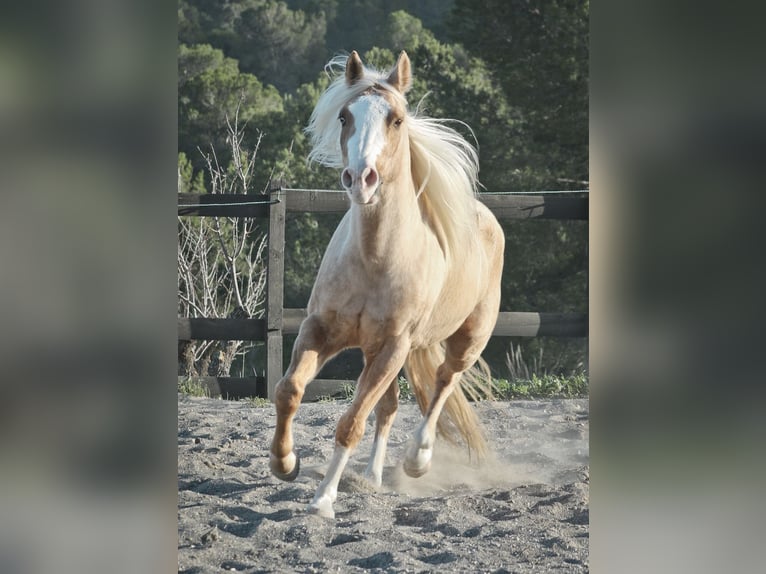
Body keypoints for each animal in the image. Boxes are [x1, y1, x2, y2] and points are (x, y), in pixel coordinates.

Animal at [272, 50, 510, 520]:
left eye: (397, 119)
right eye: (344, 116)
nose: (360, 178)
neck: (374, 258)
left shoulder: (394, 346)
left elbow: (351, 423)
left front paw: (323, 500)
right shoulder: (319, 330)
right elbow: (289, 391)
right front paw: (285, 463)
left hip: (465, 339)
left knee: (442, 383)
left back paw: (417, 460)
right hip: (374, 350)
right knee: (390, 406)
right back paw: (373, 476)